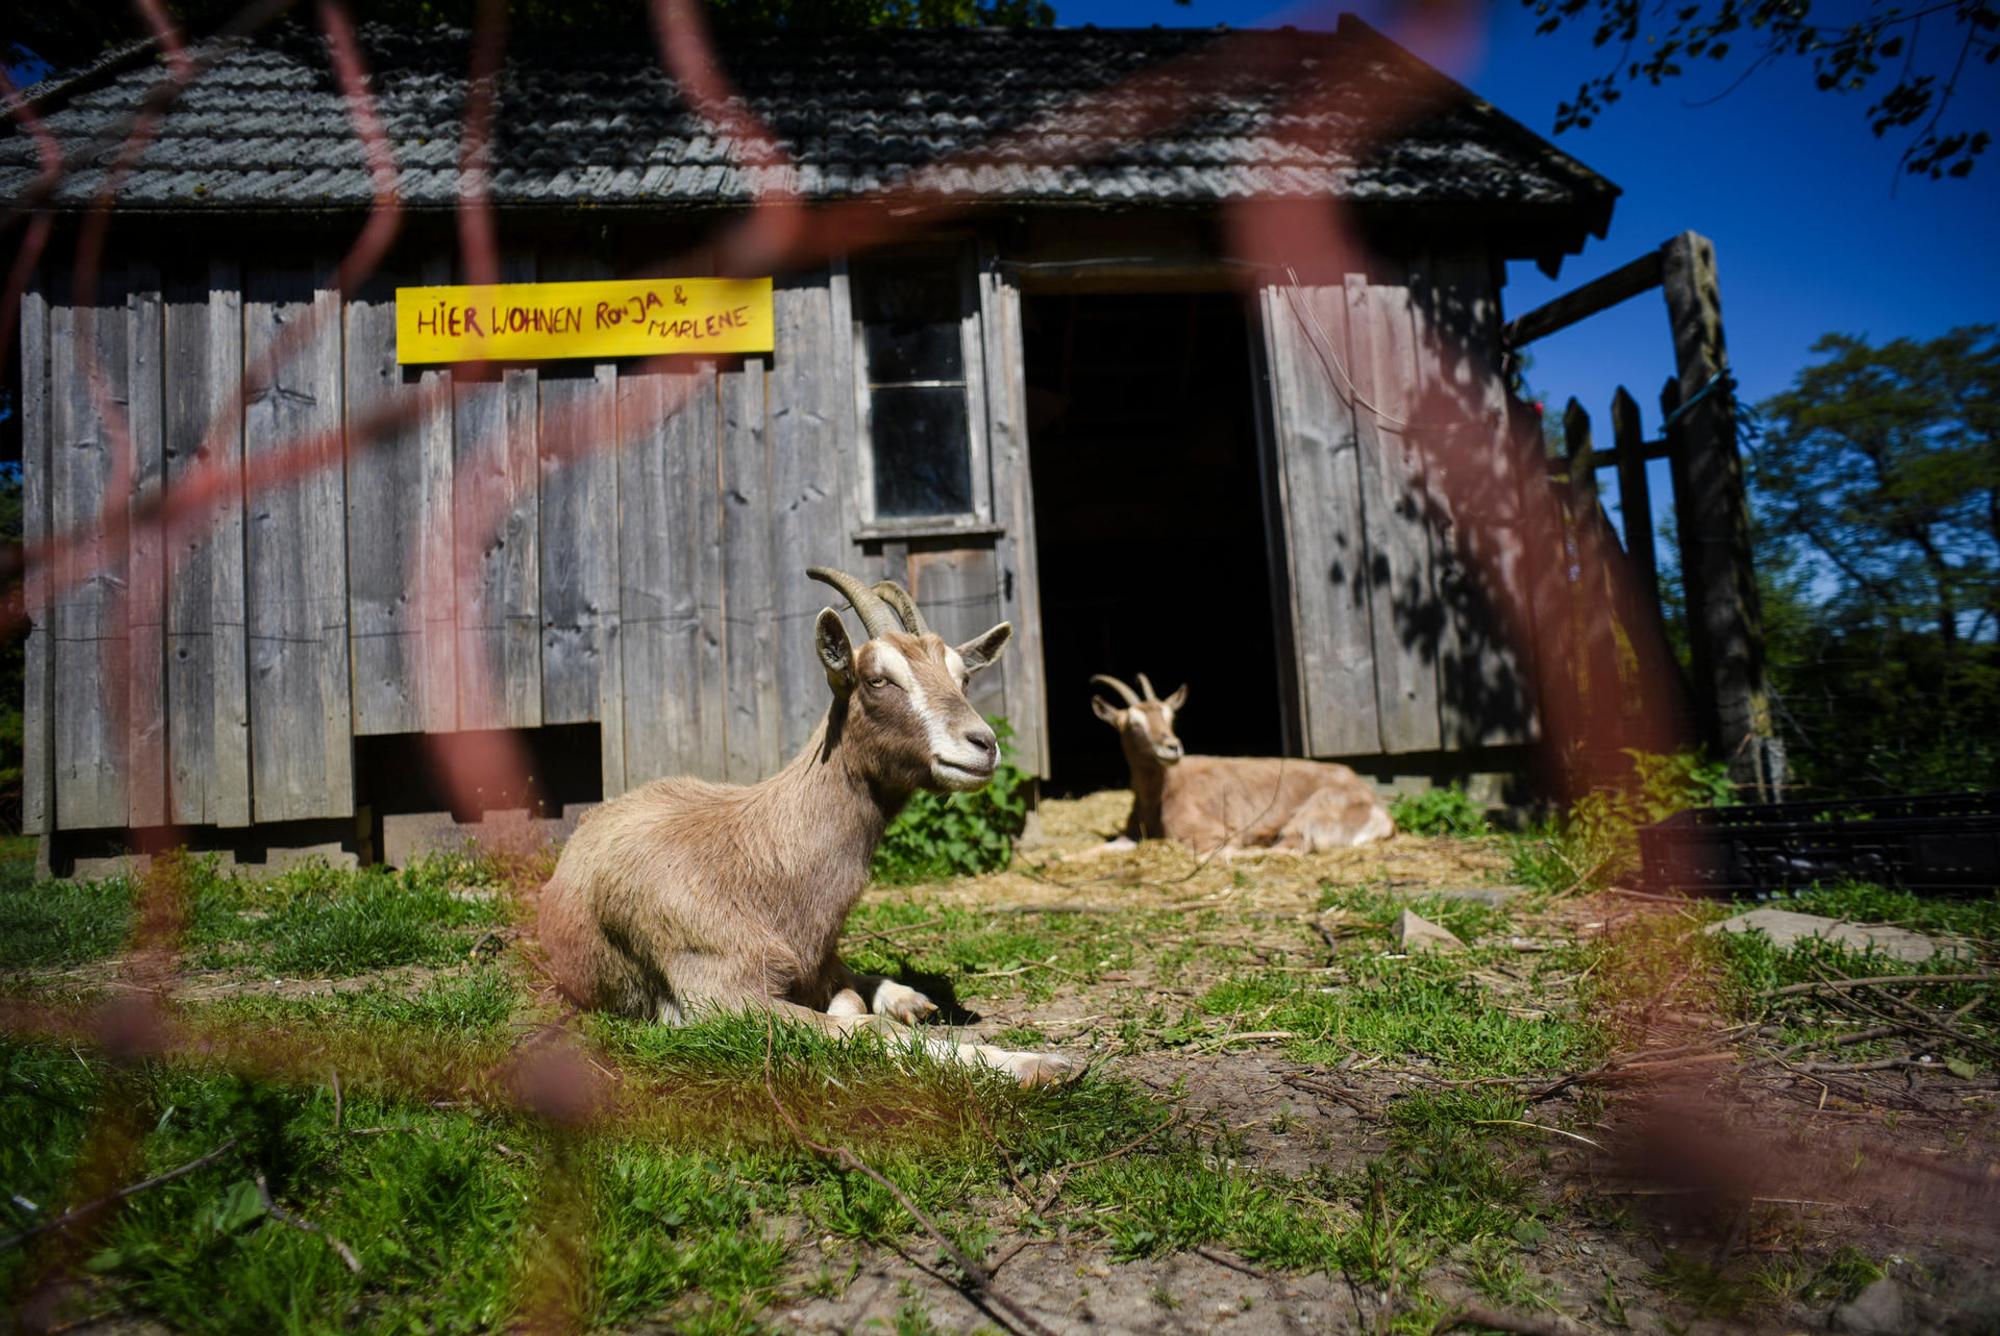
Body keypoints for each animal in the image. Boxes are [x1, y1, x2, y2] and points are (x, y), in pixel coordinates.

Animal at [538, 567, 1073, 1087]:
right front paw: (1037, 1065)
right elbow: (865, 1025)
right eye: (877, 679)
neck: (765, 858)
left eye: (962, 678)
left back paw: (910, 998)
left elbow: (850, 999)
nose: (982, 744)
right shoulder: (716, 997)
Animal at [1088, 673, 1394, 856]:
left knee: (1286, 848)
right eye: (1133, 725)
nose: (1172, 747)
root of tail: (1382, 814)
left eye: (1170, 717)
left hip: (1312, 814)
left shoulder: (1208, 833)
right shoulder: (1130, 835)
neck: (1160, 794)